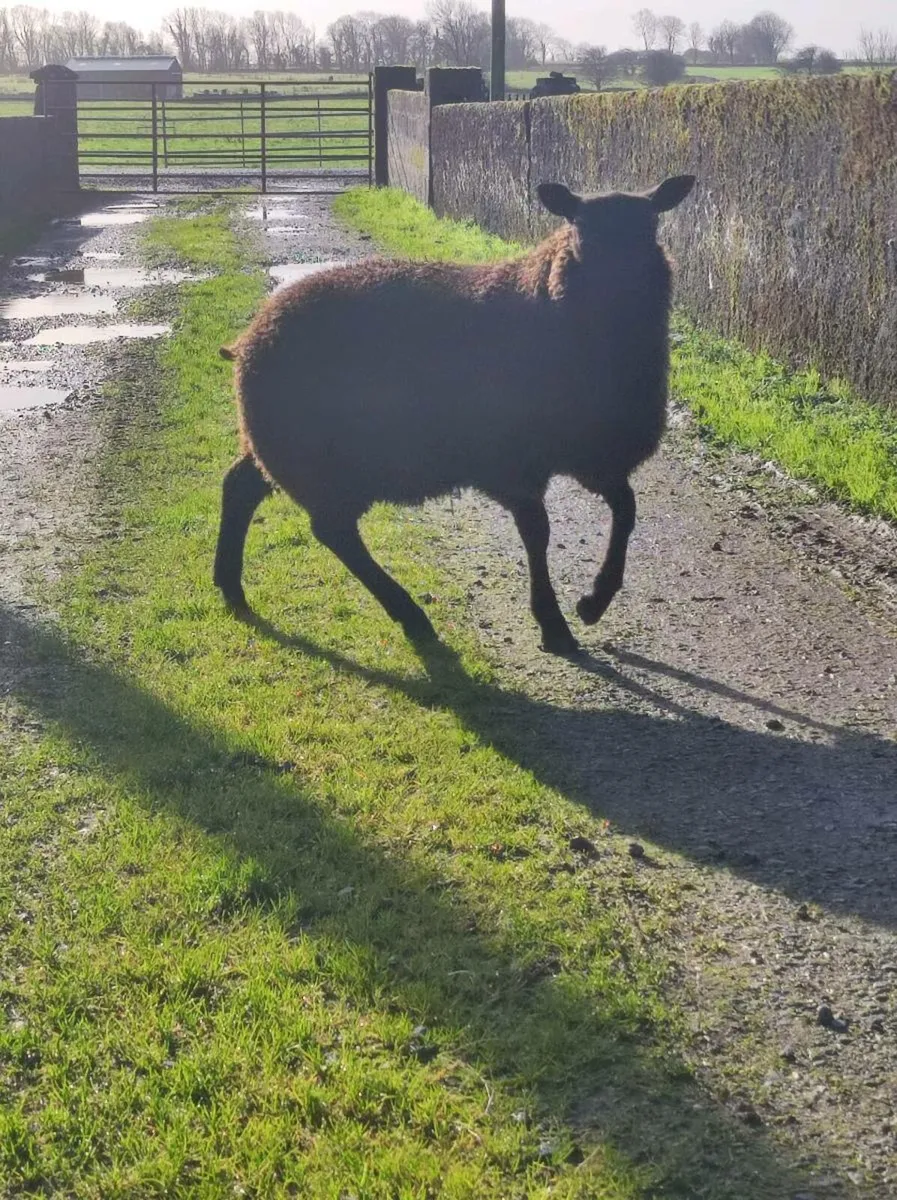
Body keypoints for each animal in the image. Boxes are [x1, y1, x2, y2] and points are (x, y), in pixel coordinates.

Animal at [214, 175, 696, 655]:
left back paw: (230, 587)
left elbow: (626, 510)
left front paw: (594, 602)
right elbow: (538, 533)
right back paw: (409, 614)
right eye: (578, 227)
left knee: (242, 487)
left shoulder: (592, 457)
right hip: (317, 453)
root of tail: (248, 339)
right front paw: (553, 623)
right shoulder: (513, 464)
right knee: (333, 530)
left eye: (651, 226)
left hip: (279, 443)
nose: (620, 288)